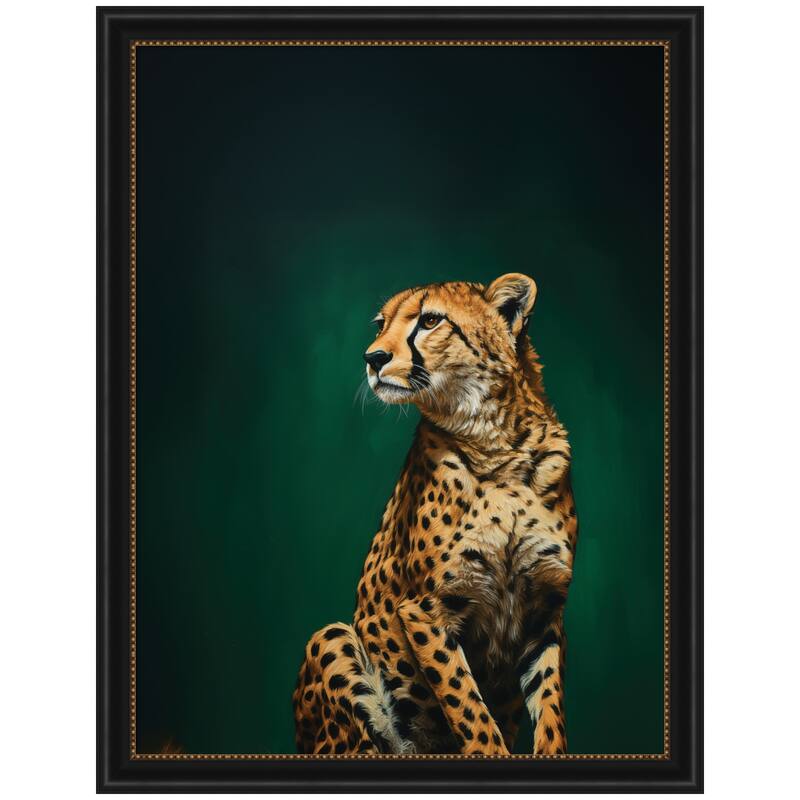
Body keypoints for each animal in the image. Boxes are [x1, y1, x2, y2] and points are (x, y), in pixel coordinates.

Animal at [292, 273, 577, 756]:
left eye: (429, 321)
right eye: (381, 324)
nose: (372, 358)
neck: (497, 443)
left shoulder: (544, 611)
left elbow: (551, 706)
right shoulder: (425, 609)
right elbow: (467, 705)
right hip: (331, 640)